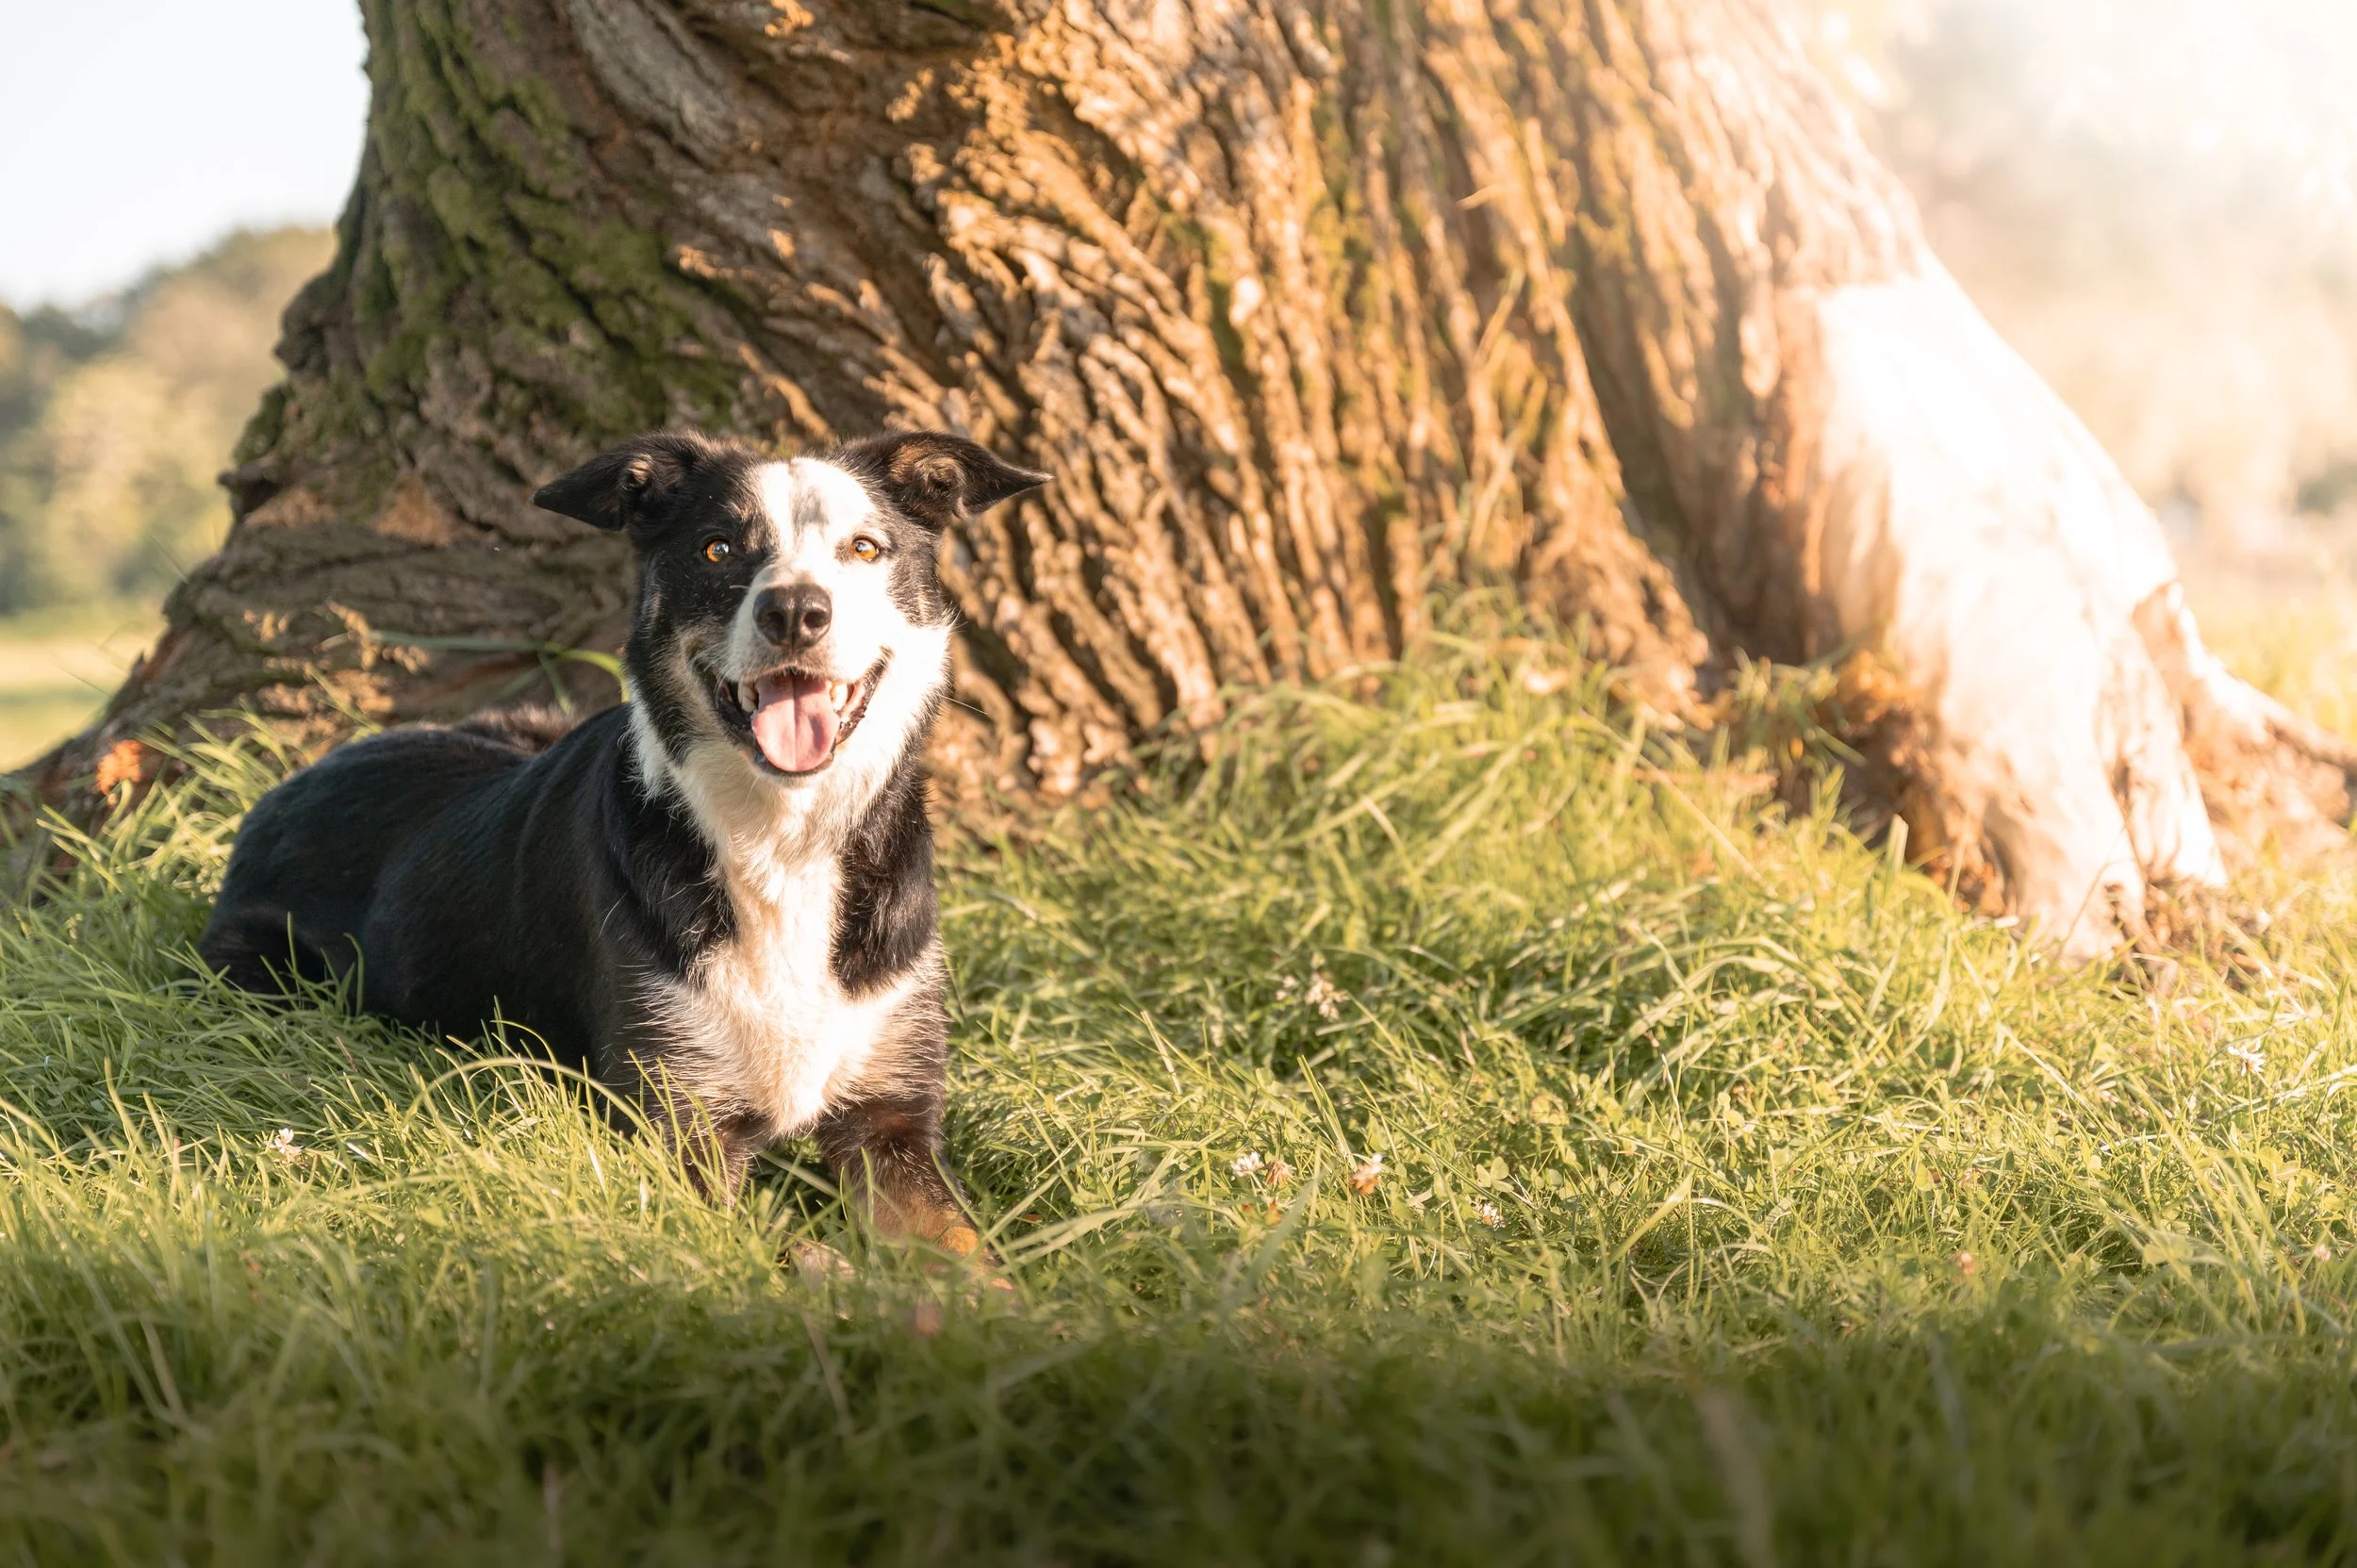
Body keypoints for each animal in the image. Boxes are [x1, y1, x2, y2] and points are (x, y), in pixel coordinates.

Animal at [199, 429, 1046, 1253]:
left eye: (865, 547)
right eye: (717, 548)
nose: (795, 611)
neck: (784, 838)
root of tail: (289, 783)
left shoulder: (892, 1116)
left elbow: (970, 1257)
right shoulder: (679, 1121)